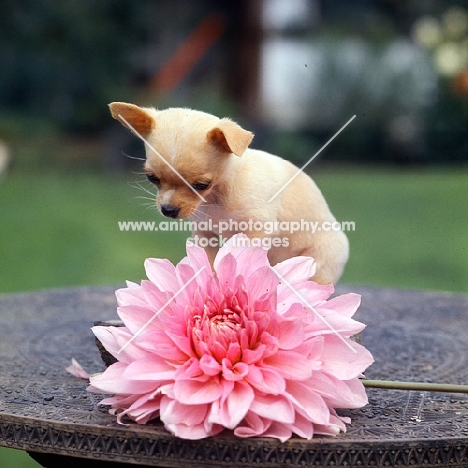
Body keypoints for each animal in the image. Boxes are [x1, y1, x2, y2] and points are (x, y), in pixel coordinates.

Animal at [109, 102, 350, 284]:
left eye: (201, 185)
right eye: (152, 178)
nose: (168, 210)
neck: (216, 196)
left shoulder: (257, 231)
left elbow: (246, 261)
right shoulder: (205, 233)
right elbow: (209, 262)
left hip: (320, 260)